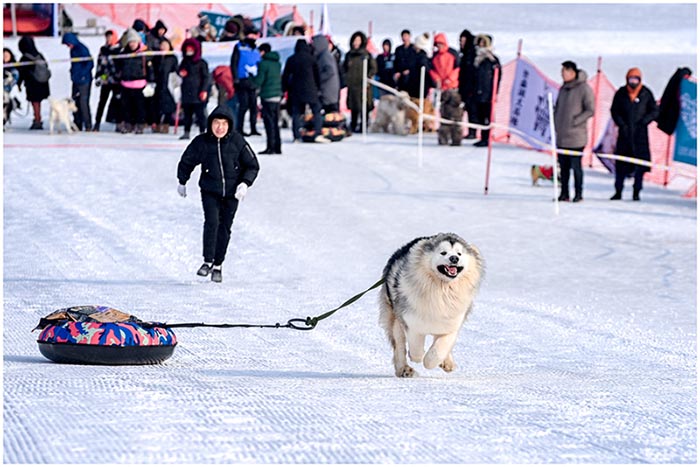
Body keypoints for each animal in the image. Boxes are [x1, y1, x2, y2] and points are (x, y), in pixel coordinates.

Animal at [380, 232, 484, 378]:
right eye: (443, 252)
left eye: (459, 253)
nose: (454, 258)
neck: (442, 290)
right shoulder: (411, 321)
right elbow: (416, 348)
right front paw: (416, 357)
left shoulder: (451, 324)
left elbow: (439, 350)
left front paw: (431, 361)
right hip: (394, 317)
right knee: (399, 346)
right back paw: (405, 370)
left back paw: (447, 363)